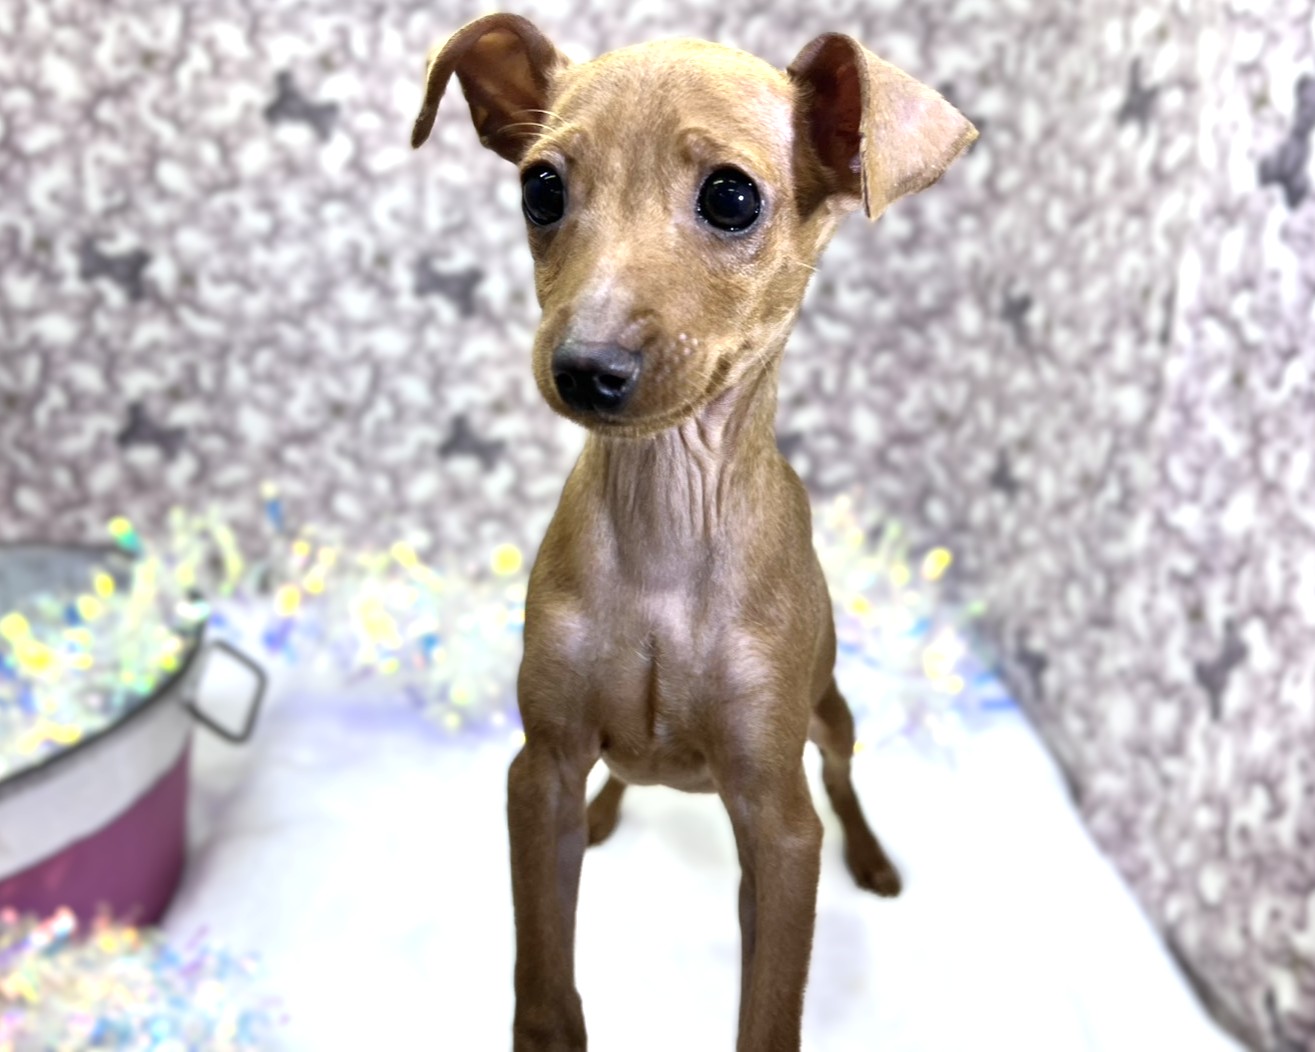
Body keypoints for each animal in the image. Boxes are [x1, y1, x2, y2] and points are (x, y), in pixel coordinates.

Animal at [411, 15, 976, 1050]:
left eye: (730, 196)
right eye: (539, 188)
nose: (584, 367)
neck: (664, 523)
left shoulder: (779, 824)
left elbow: (769, 1005)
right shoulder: (538, 770)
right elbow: (543, 980)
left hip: (830, 712)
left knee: (841, 774)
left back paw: (872, 857)